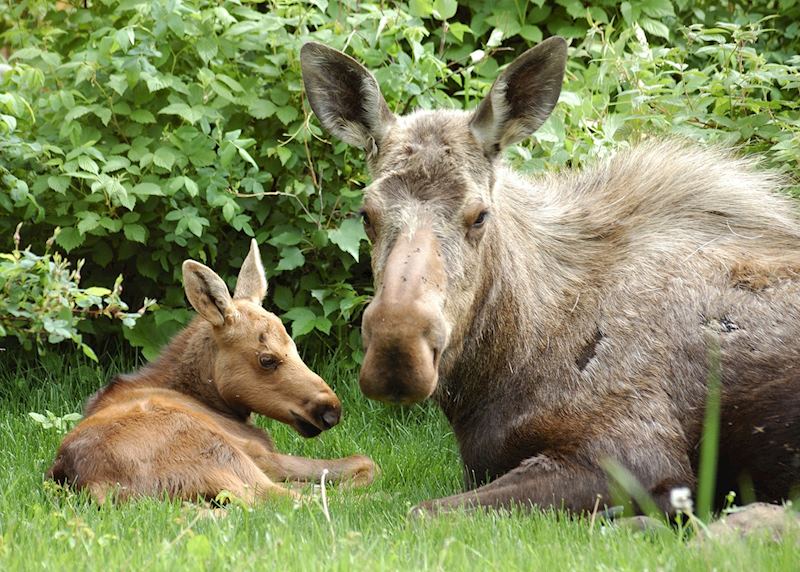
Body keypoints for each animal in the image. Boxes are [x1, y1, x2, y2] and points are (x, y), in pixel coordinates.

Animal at [48, 240, 376, 503]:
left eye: (294, 345)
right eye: (267, 359)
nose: (331, 410)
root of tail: (95, 486)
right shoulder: (260, 453)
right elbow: (365, 462)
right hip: (224, 456)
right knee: (283, 500)